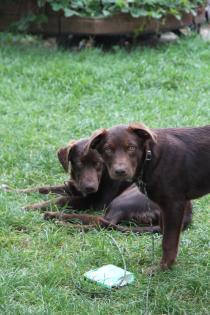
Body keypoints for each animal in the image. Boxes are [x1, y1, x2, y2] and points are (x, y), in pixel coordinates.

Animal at [84, 124, 209, 270]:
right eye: (108, 149)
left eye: (131, 147)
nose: (120, 171)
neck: (151, 158)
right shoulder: (164, 206)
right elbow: (164, 233)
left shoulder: (174, 204)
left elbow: (169, 241)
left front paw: (162, 268)